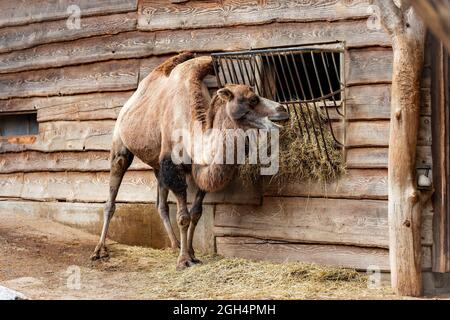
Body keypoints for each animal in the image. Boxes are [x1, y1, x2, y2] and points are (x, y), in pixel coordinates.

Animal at [91, 53, 288, 270]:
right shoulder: (172, 164)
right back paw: (99, 250)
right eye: (252, 99)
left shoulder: (197, 169)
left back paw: (175, 245)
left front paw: (192, 254)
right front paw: (184, 260)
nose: (283, 108)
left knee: (161, 205)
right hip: (120, 145)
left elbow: (196, 213)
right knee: (112, 196)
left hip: (157, 165)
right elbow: (183, 217)